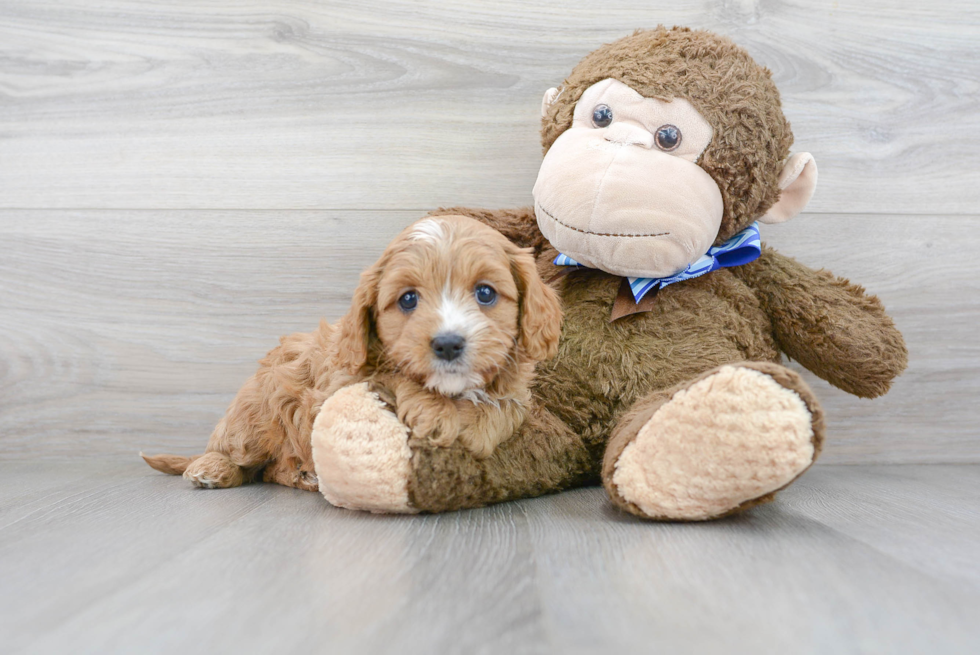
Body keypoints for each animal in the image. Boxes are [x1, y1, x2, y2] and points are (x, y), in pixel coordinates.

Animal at [142, 217, 564, 492]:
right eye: (408, 299)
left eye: (486, 293)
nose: (447, 344)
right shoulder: (340, 382)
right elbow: (392, 376)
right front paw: (435, 413)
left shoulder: (515, 392)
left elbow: (504, 407)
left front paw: (475, 427)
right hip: (252, 419)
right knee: (238, 456)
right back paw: (211, 468)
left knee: (268, 470)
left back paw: (302, 474)